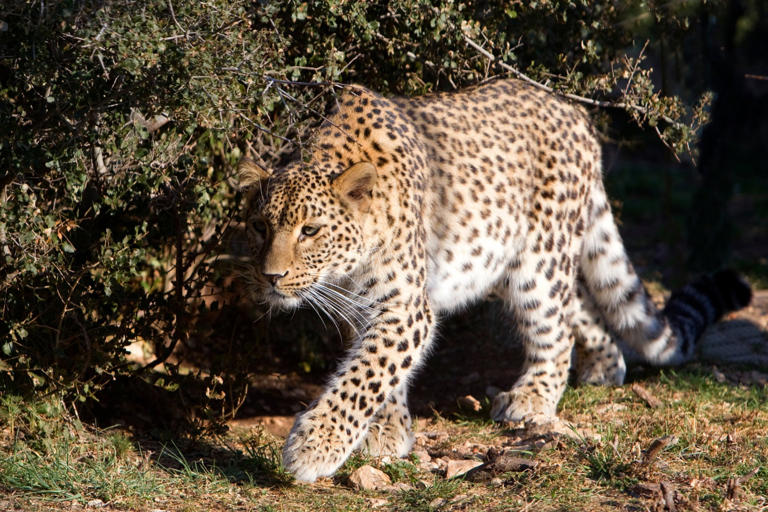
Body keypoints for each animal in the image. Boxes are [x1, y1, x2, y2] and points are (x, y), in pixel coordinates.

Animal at [237, 79, 751, 482]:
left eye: (310, 231)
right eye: (259, 227)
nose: (271, 276)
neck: (344, 270)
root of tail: (574, 112)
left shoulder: (406, 306)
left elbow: (367, 375)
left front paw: (315, 446)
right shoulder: (360, 309)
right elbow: (379, 371)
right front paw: (389, 431)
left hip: (537, 262)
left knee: (556, 328)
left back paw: (533, 398)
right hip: (506, 261)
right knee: (580, 306)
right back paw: (605, 369)